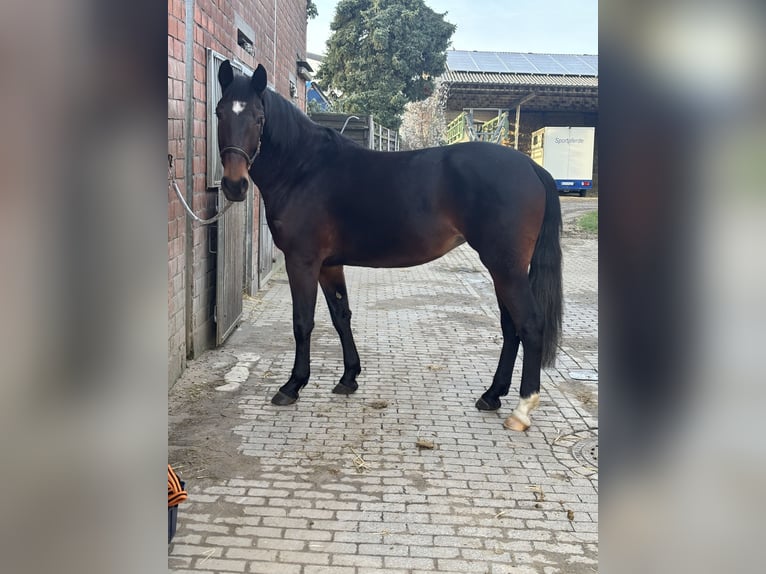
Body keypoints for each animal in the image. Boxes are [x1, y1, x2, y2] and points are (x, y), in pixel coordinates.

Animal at [215, 61, 563, 432]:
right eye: (220, 112)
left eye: (258, 118)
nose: (234, 185)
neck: (304, 169)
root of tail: (531, 167)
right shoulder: (329, 265)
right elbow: (341, 315)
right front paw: (349, 377)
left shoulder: (302, 261)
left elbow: (302, 322)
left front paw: (292, 385)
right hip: (503, 270)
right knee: (511, 327)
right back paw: (492, 394)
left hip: (505, 267)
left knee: (529, 324)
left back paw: (522, 409)